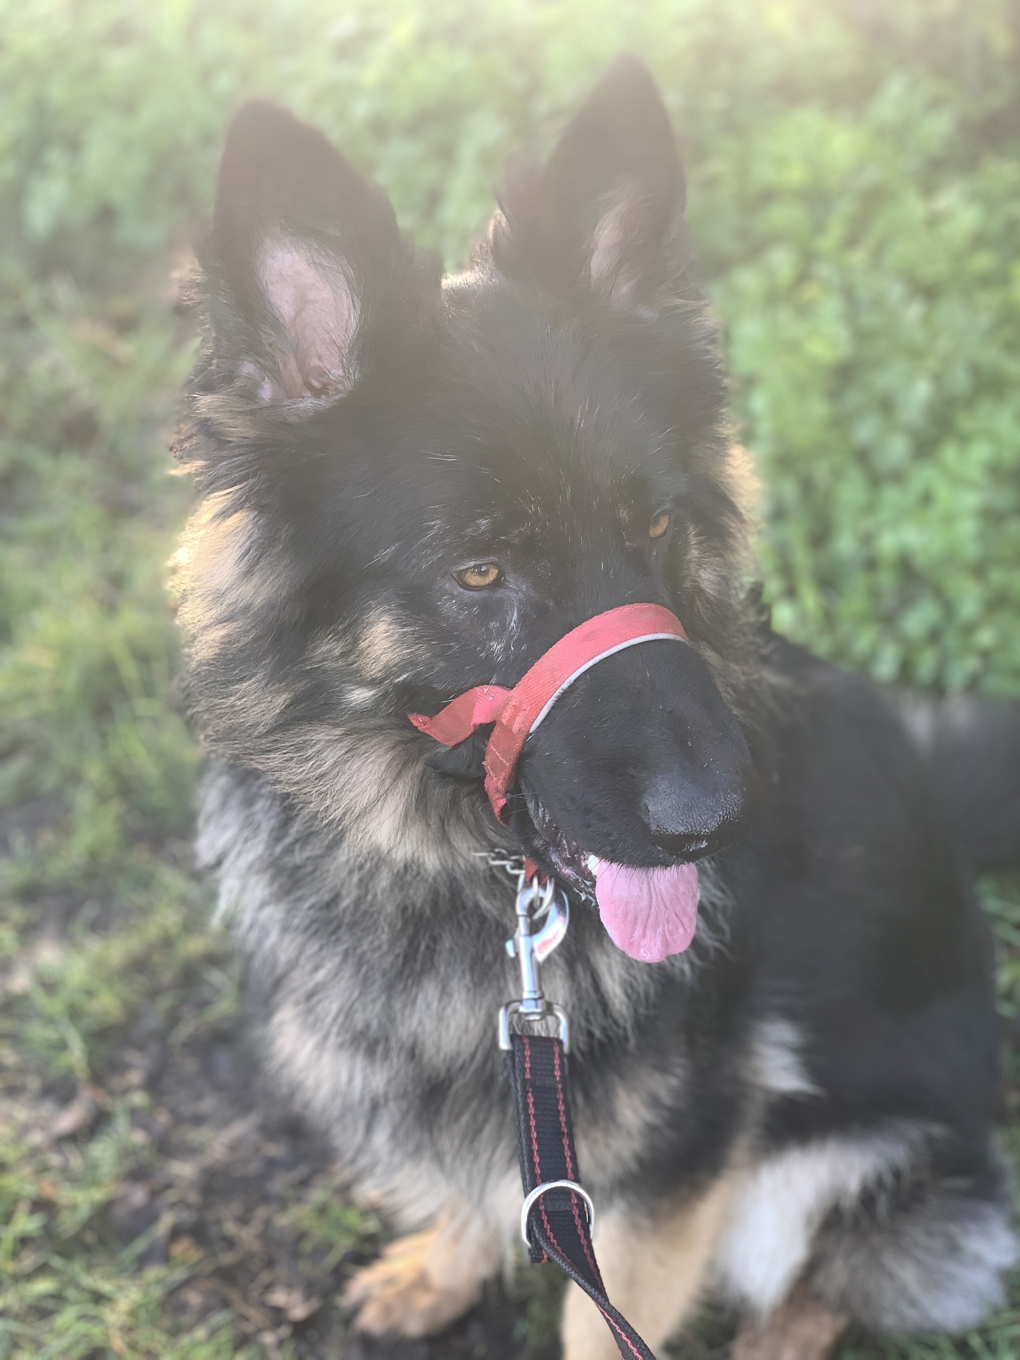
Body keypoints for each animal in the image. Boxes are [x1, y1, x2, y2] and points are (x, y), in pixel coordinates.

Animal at [178, 55, 1020, 1360]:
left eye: (659, 523)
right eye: (480, 571)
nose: (725, 814)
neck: (466, 878)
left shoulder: (677, 1165)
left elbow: (604, 1309)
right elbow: (493, 1180)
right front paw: (445, 1260)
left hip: (843, 1162)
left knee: (829, 1283)